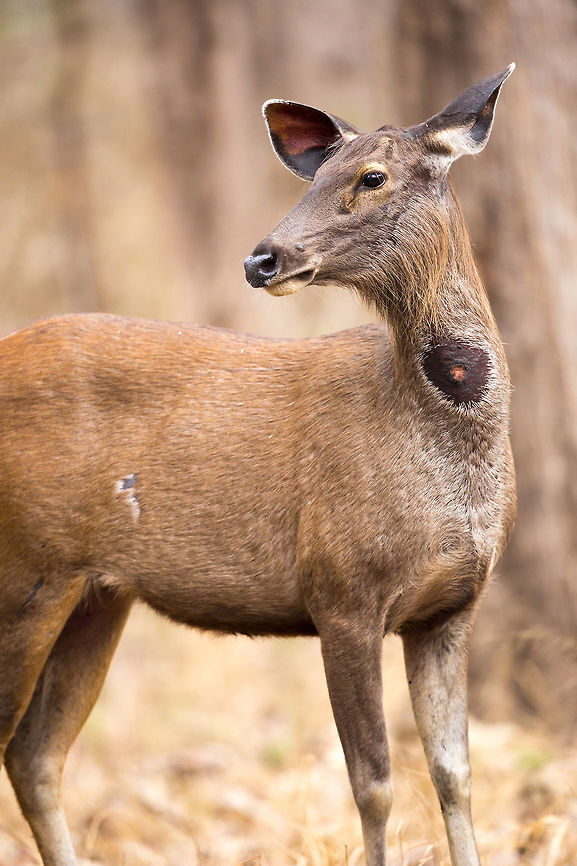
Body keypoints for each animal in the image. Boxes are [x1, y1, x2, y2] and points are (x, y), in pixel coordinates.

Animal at [0, 67, 516, 866]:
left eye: (372, 176)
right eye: (317, 174)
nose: (261, 259)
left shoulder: (450, 608)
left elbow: (455, 774)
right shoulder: (340, 587)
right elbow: (373, 783)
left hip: (93, 593)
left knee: (34, 753)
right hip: (26, 566)